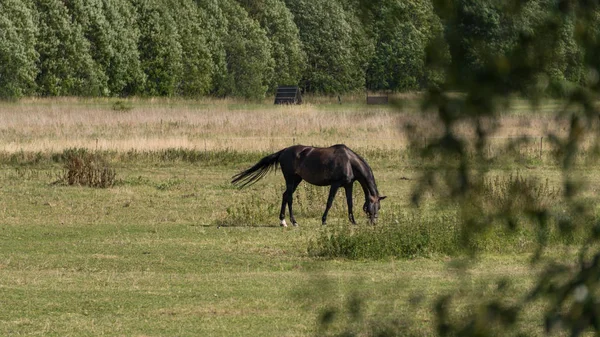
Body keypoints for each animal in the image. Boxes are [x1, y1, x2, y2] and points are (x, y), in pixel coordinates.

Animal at [232, 144, 386, 226]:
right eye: (373, 206)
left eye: (378, 207)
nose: (374, 222)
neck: (349, 162)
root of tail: (284, 151)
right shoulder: (335, 184)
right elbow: (329, 202)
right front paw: (324, 221)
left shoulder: (348, 185)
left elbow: (350, 203)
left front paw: (353, 222)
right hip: (290, 179)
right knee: (289, 197)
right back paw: (293, 222)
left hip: (297, 179)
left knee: (285, 196)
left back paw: (283, 221)